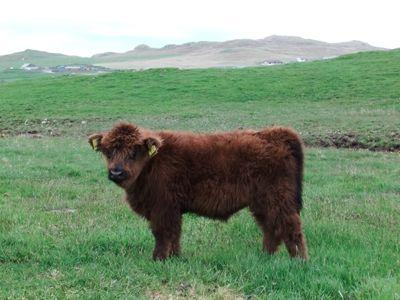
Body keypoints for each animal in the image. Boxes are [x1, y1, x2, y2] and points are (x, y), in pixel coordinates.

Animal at [89, 123, 310, 262]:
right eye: (107, 151)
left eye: (134, 152)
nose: (116, 172)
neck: (153, 161)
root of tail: (273, 133)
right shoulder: (172, 210)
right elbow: (174, 234)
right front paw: (175, 257)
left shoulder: (163, 208)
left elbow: (162, 233)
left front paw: (158, 259)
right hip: (261, 204)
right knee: (271, 228)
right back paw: (265, 256)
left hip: (278, 199)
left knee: (291, 227)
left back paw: (300, 261)